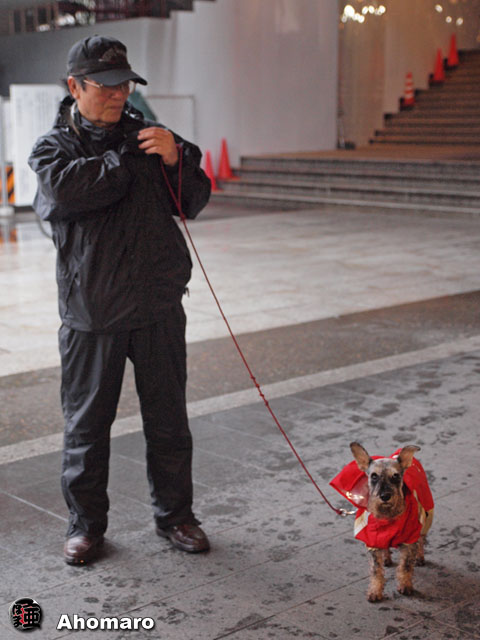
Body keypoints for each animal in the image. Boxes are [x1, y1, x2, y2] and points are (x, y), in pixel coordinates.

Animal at [330, 442, 434, 602]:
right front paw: (375, 592)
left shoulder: (409, 540)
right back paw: (387, 558)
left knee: (422, 540)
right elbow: (376, 570)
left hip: (425, 516)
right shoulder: (373, 542)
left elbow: (405, 566)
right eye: (374, 476)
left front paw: (405, 586)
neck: (388, 516)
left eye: (396, 476)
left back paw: (420, 557)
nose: (385, 496)